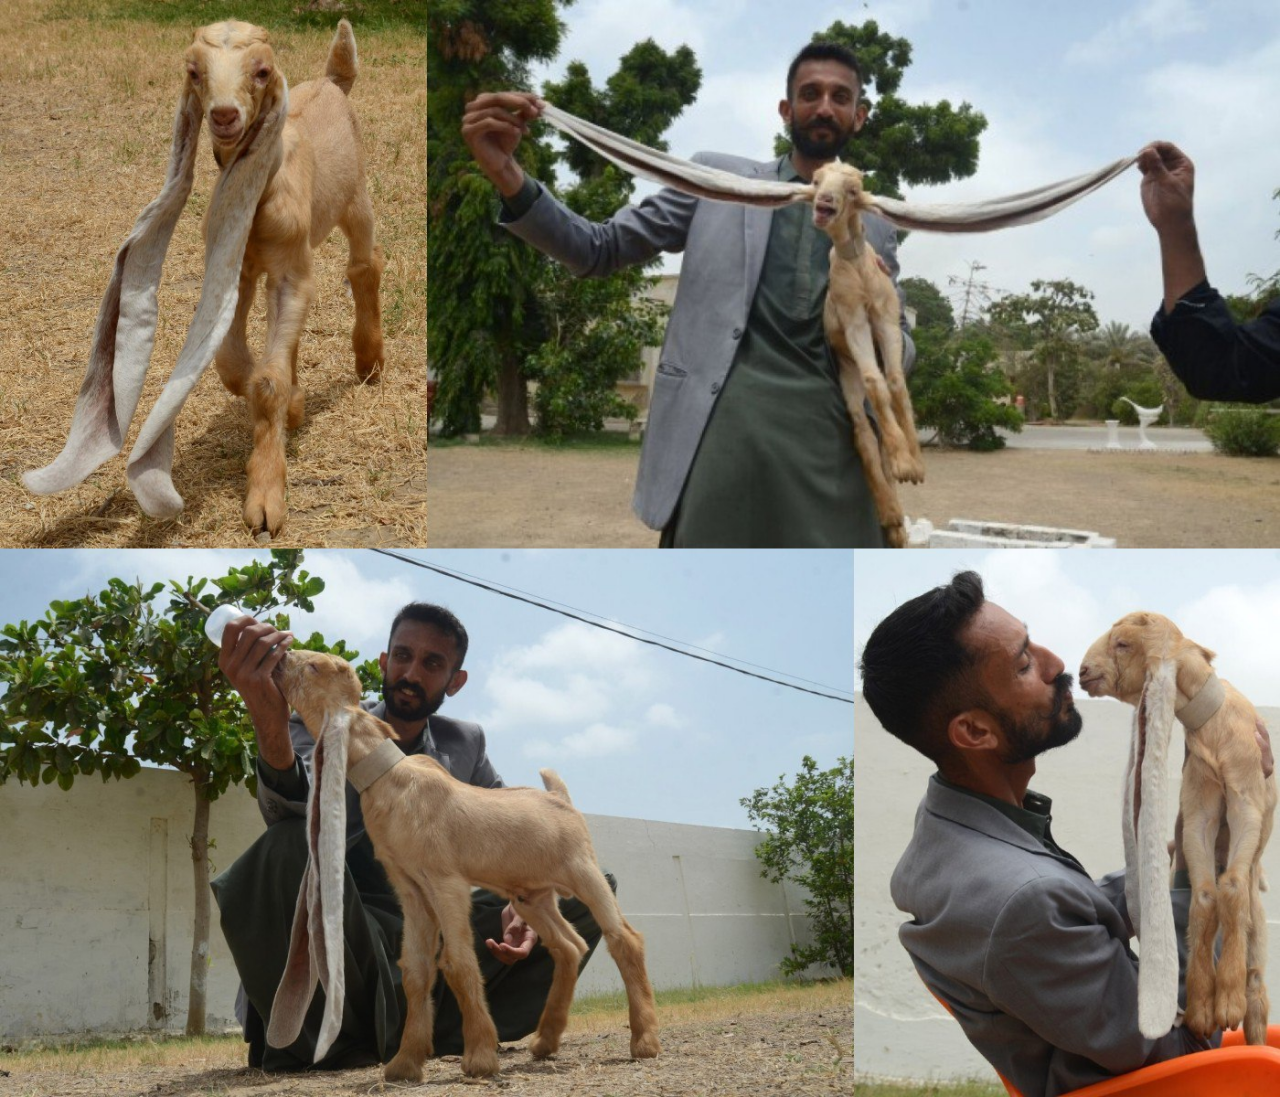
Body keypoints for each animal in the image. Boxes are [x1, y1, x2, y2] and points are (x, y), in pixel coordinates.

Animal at [267, 645, 660, 1080]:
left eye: (315, 666)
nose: (280, 657)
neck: (389, 779)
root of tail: (561, 798)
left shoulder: (445, 881)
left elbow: (457, 961)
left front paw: (480, 1057)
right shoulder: (412, 889)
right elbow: (417, 970)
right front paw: (405, 1063)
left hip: (583, 869)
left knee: (624, 938)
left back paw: (644, 1041)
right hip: (532, 896)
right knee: (568, 945)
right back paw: (545, 1040)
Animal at [814, 161, 926, 547]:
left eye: (853, 189)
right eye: (815, 181)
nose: (824, 202)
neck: (858, 269)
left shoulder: (886, 319)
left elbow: (896, 383)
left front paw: (915, 462)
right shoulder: (854, 322)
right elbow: (875, 380)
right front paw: (905, 463)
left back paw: (896, 524)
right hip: (846, 371)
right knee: (862, 431)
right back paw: (890, 513)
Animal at [1080, 611, 1269, 1049]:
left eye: (1123, 644)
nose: (1082, 672)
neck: (1214, 727)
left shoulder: (1246, 802)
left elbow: (1231, 885)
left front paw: (1227, 999)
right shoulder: (1198, 810)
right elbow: (1203, 894)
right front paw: (1202, 1006)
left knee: (1257, 977)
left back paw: (1252, 1024)